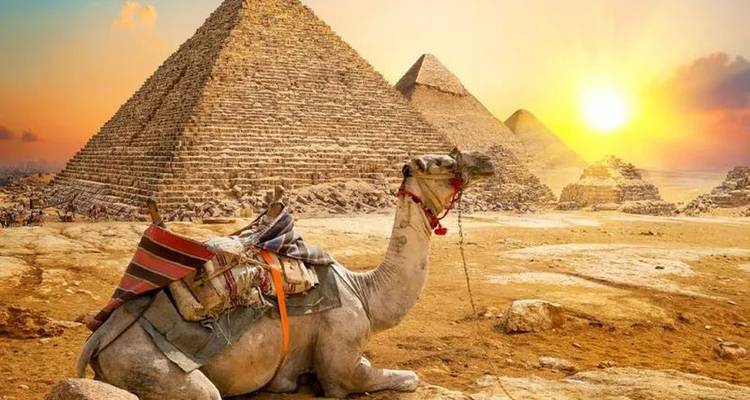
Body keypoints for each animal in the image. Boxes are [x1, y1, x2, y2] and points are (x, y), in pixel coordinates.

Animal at [77, 150, 494, 399]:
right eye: (442, 162)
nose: (486, 160)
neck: (365, 292)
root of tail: (97, 341)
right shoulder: (341, 363)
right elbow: (406, 378)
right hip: (153, 369)